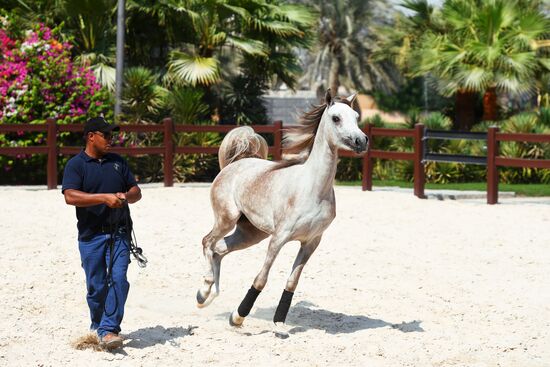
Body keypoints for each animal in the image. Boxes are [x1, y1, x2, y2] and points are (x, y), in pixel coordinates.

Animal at [196, 90, 368, 338]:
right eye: (336, 118)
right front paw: (237, 318)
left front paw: (278, 323)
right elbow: (261, 279)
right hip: (226, 220)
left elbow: (292, 282)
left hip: (251, 234)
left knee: (219, 249)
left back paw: (208, 296)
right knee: (207, 242)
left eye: (356, 117)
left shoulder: (311, 242)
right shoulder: (279, 238)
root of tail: (235, 164)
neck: (312, 189)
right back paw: (203, 293)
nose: (361, 141)